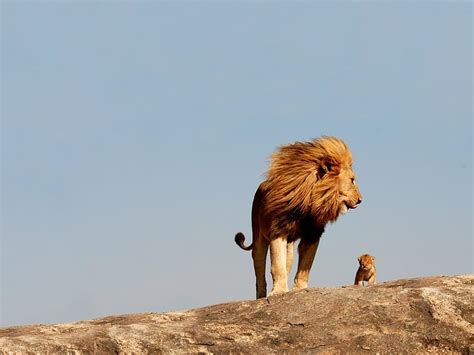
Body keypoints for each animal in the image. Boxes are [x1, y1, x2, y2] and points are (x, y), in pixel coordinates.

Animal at [234, 138, 362, 298]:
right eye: (352, 180)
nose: (360, 200)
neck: (310, 201)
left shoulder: (313, 234)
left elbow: (305, 265)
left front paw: (300, 289)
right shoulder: (278, 230)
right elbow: (277, 265)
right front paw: (278, 291)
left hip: (289, 247)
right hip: (258, 236)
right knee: (259, 266)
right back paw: (261, 296)